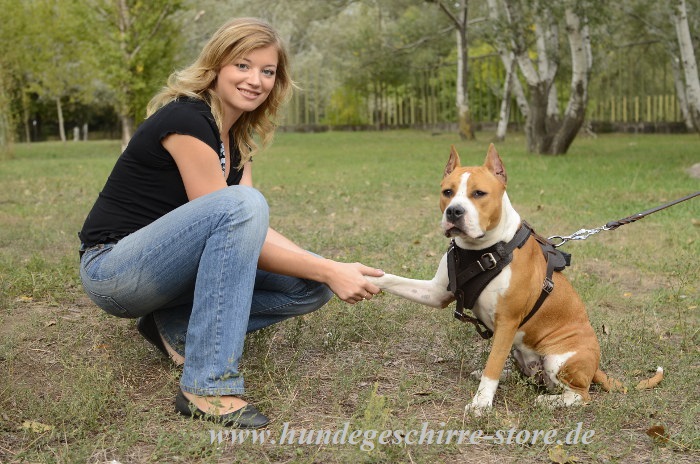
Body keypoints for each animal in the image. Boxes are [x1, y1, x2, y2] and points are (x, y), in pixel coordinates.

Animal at [370, 143, 664, 416]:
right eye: (447, 192)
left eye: (479, 193)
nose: (454, 212)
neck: (483, 249)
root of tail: (596, 368)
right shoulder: (436, 292)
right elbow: (393, 279)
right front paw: (367, 277)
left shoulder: (507, 321)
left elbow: (492, 366)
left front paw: (481, 404)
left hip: (558, 360)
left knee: (581, 395)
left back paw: (548, 401)